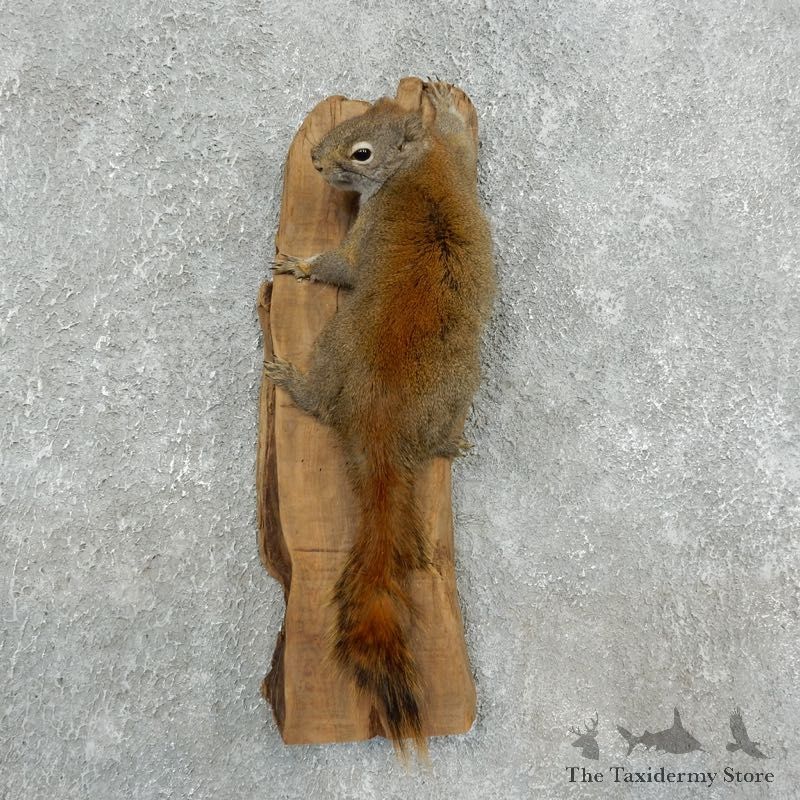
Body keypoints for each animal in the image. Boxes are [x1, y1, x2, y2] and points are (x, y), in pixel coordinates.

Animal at [266, 81, 495, 754]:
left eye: (361, 150)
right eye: (365, 113)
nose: (315, 161)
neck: (414, 167)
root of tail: (381, 426)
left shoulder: (368, 229)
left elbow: (340, 266)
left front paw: (301, 265)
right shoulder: (456, 166)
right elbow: (465, 147)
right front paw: (446, 105)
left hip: (334, 344)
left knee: (321, 399)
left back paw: (295, 382)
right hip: (456, 391)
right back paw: (450, 443)